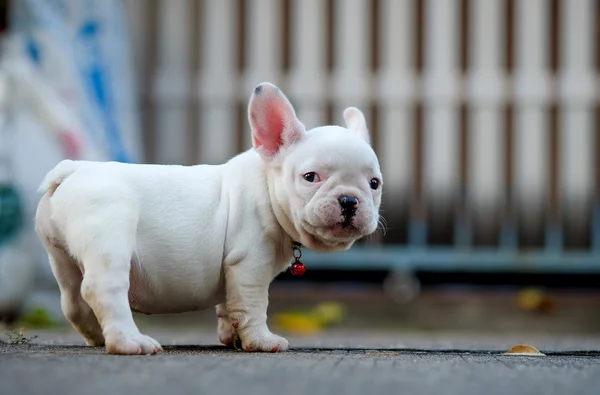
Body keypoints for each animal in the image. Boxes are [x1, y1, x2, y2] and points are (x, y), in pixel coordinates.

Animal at [34, 83, 384, 356]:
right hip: (110, 232)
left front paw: (232, 336)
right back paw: (130, 342)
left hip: (61, 256)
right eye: (310, 177)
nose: (349, 200)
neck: (267, 187)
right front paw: (262, 341)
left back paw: (98, 336)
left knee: (73, 299)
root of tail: (72, 170)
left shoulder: (232, 272)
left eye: (374, 184)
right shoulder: (250, 265)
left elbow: (229, 305)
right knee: (104, 288)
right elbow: (253, 305)